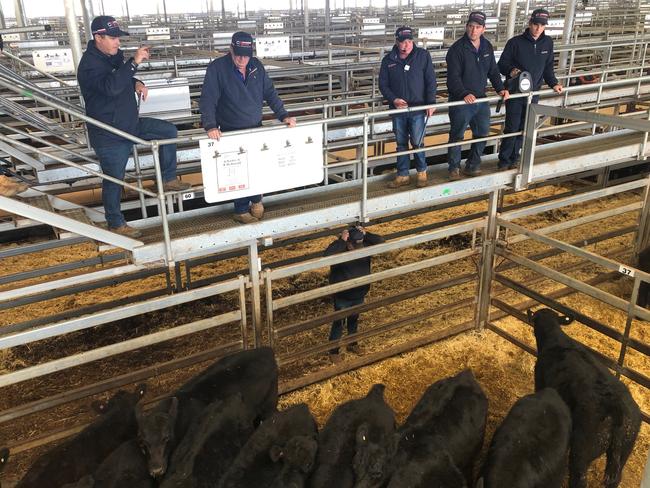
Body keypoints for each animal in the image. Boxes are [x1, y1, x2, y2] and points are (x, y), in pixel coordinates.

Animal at [528, 308, 640, 488]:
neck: (557, 342)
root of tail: (617, 407)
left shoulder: (540, 381)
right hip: (624, 449)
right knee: (616, 478)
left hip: (582, 451)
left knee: (579, 478)